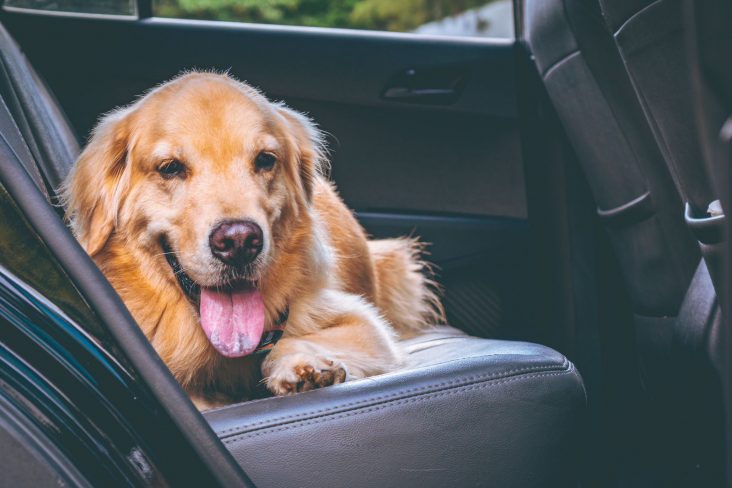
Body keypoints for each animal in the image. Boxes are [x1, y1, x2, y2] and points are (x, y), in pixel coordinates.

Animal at [64, 71, 440, 408]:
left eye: (265, 160)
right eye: (170, 167)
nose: (239, 242)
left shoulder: (365, 325)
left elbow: (296, 340)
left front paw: (301, 364)